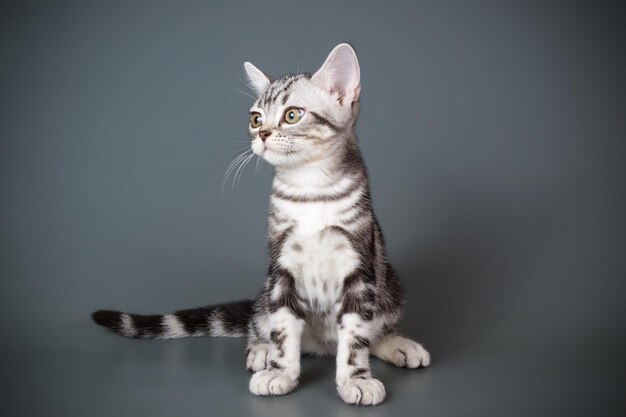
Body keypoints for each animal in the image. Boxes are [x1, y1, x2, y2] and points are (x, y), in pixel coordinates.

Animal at [92, 44, 428, 404]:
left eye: (292, 115)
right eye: (255, 119)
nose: (263, 133)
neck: (311, 190)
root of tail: (323, 345)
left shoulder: (359, 265)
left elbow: (355, 334)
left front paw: (356, 378)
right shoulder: (281, 266)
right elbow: (283, 327)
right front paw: (280, 371)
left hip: (389, 285)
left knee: (371, 330)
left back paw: (398, 344)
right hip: (267, 290)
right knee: (259, 320)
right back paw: (261, 349)